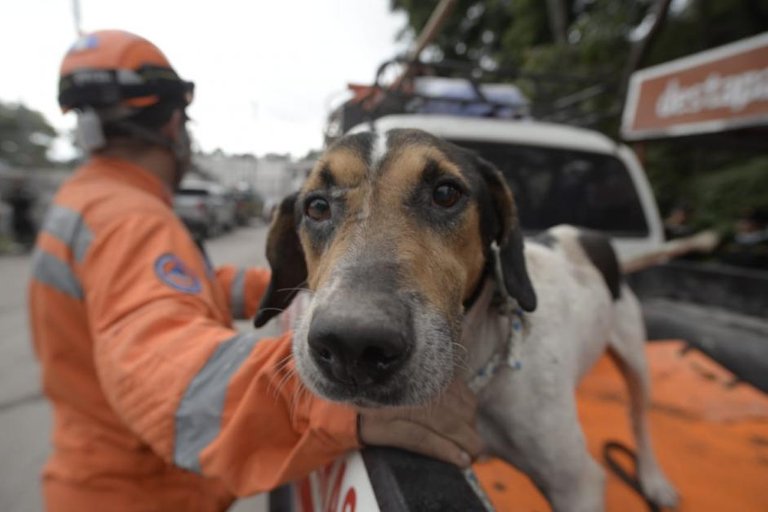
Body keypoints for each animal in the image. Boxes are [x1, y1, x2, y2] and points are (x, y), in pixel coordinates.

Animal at [254, 128, 680, 512]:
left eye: (446, 193)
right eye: (316, 206)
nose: (351, 345)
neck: (475, 368)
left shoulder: (577, 483)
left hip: (634, 353)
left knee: (639, 418)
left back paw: (654, 480)